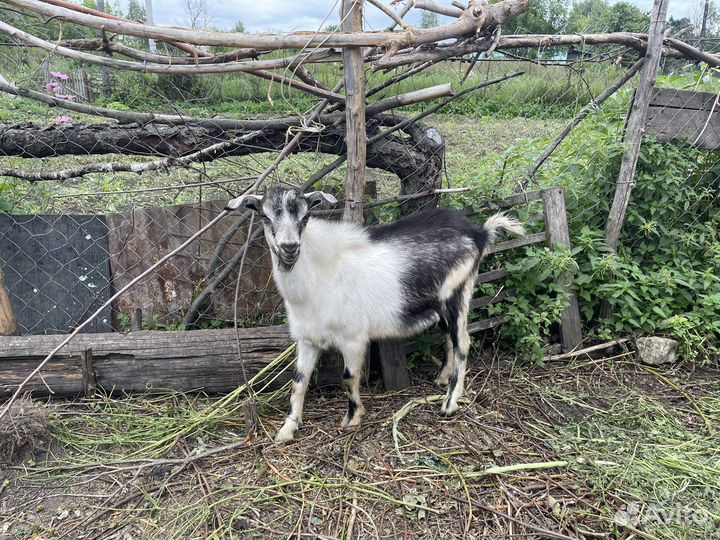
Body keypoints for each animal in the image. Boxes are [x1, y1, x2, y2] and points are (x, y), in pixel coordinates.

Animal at [228, 186, 524, 442]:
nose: (289, 248)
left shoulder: (352, 337)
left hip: (457, 292)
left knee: (463, 342)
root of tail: (478, 232)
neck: (317, 275)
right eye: (264, 216)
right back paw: (441, 378)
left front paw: (352, 419)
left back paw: (450, 403)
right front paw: (287, 428)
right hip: (440, 305)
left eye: (305, 217)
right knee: (450, 339)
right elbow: (298, 382)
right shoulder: (308, 338)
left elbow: (348, 377)